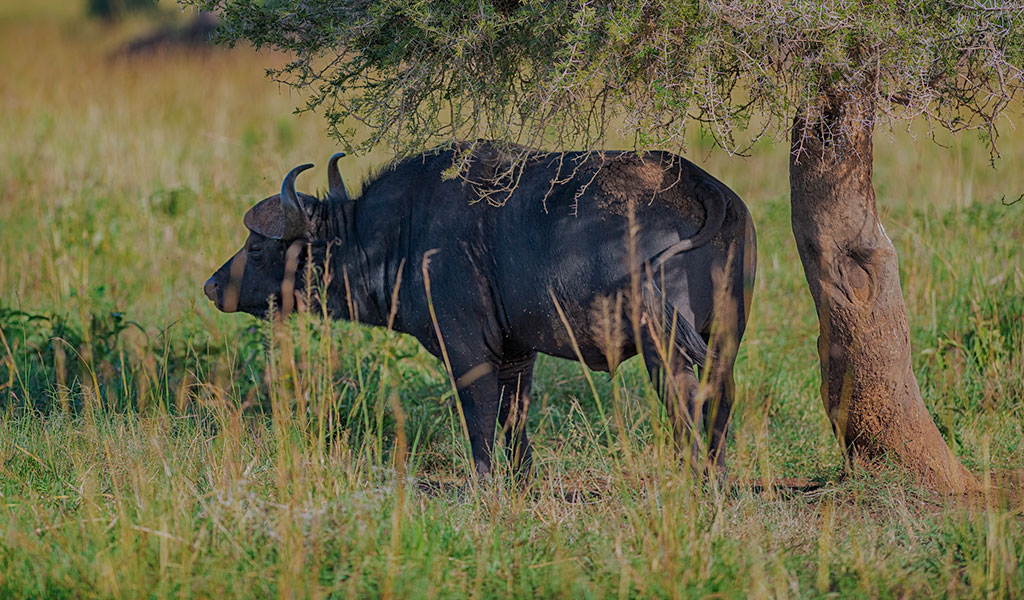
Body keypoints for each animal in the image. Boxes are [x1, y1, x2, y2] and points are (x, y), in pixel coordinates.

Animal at [203, 143, 757, 481]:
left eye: (256, 247)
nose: (211, 286)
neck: (401, 234)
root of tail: (699, 184)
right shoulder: (517, 355)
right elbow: (515, 415)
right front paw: (523, 480)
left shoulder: (466, 351)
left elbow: (479, 414)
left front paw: (485, 481)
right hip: (724, 336)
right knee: (722, 393)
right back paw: (718, 473)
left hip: (663, 344)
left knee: (684, 398)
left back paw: (693, 475)